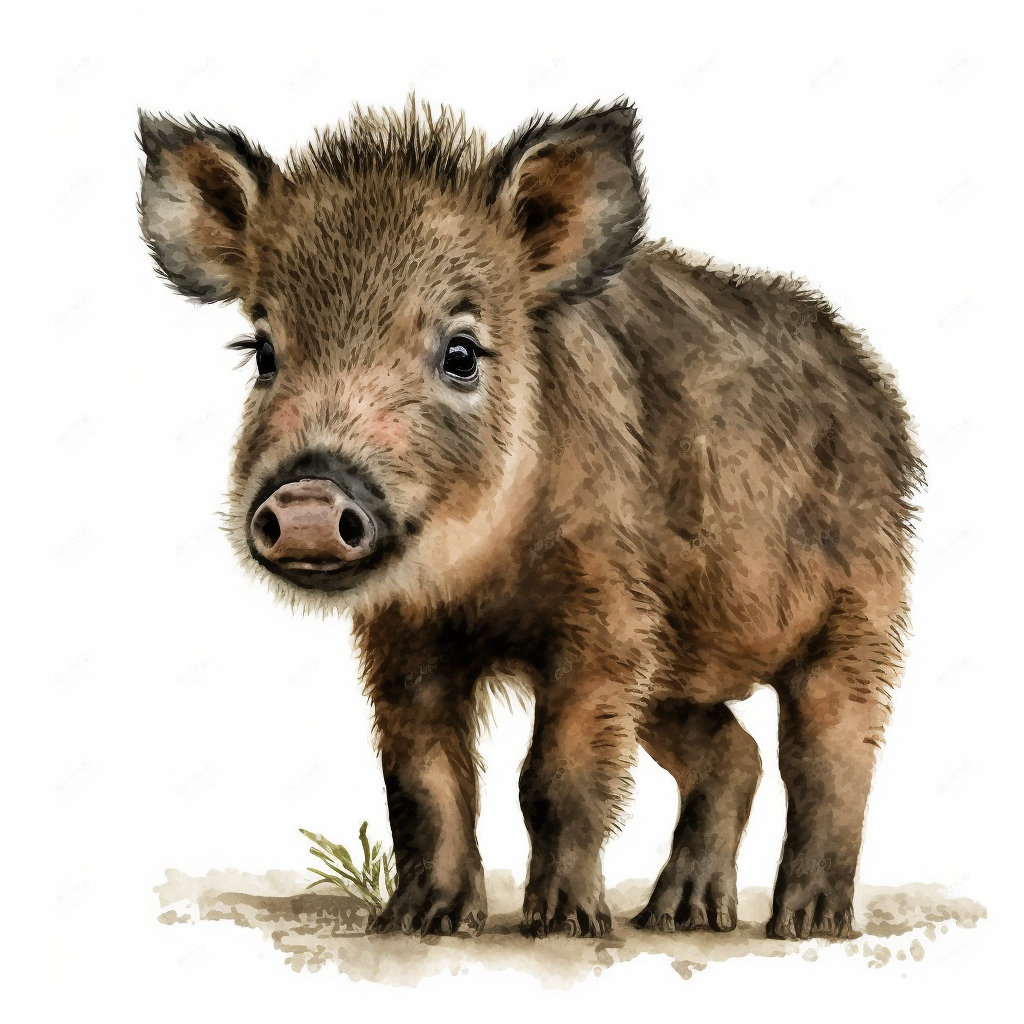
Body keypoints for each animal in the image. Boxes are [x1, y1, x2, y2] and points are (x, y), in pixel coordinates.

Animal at [138, 99, 924, 941]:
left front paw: (565, 925)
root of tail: (871, 382)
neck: (480, 576)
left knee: (832, 754)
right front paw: (420, 923)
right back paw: (677, 917)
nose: (309, 501)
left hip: (861, 613)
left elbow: (555, 779)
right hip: (675, 675)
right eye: (262, 351)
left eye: (461, 352)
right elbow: (422, 781)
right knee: (733, 754)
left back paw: (805, 923)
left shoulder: (607, 623)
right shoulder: (408, 641)